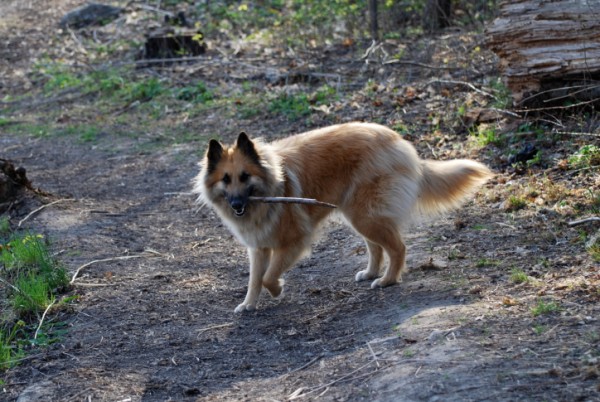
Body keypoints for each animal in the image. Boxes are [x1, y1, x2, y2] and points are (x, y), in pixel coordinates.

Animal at [195, 121, 490, 312]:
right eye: (225, 179)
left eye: (245, 176)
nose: (236, 204)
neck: (270, 186)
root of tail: (399, 142)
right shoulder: (258, 247)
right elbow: (254, 279)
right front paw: (248, 304)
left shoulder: (294, 242)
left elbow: (268, 277)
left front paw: (277, 289)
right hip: (359, 215)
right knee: (377, 247)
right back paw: (371, 273)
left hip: (364, 215)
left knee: (397, 248)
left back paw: (388, 280)